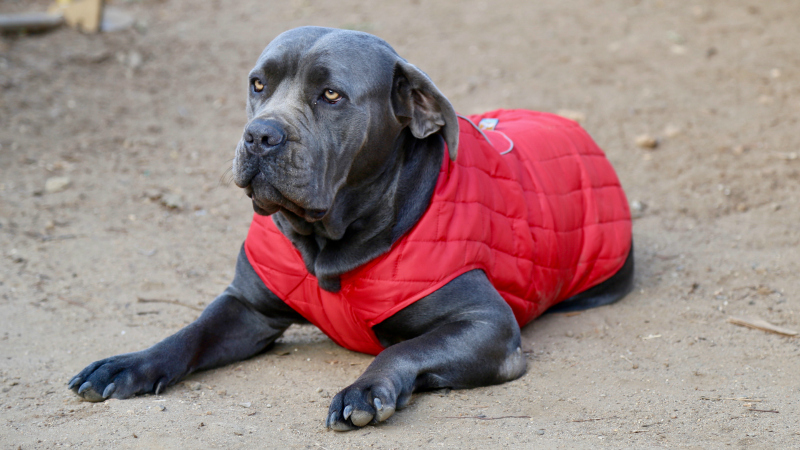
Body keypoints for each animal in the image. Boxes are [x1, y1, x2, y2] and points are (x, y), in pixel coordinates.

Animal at [69, 26, 636, 430]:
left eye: (331, 95)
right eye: (258, 84)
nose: (259, 135)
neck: (330, 242)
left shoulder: (488, 324)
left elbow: (404, 348)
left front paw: (367, 389)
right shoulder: (247, 306)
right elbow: (191, 332)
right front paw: (129, 363)